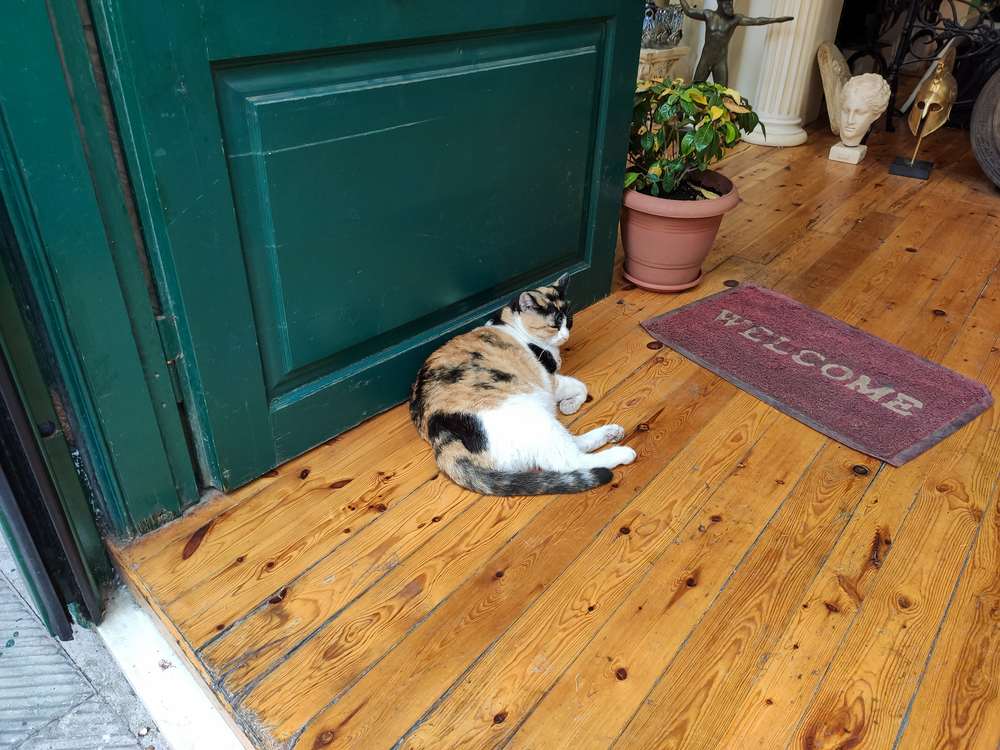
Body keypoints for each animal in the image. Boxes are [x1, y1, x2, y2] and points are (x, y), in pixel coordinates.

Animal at [410, 274, 636, 496]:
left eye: (569, 321)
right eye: (554, 325)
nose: (565, 336)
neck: (511, 324)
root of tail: (441, 436)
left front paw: (569, 406)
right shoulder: (550, 380)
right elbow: (581, 386)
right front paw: (570, 405)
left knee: (573, 443)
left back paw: (612, 432)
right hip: (536, 416)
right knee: (570, 461)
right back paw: (622, 453)